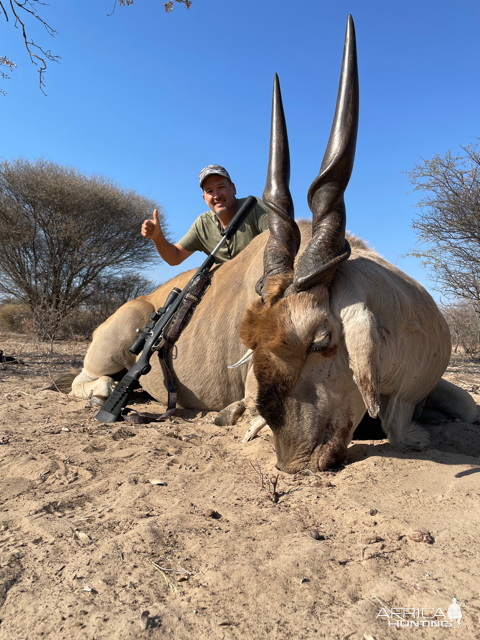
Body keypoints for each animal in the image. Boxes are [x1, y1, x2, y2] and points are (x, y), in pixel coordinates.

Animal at [66, 17, 476, 472]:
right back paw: (108, 394)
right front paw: (233, 415)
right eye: (255, 344)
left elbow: (469, 406)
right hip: (106, 355)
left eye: (321, 342)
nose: (293, 460)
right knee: (90, 382)